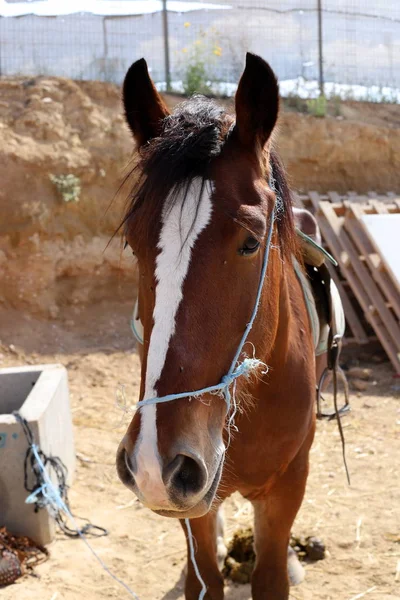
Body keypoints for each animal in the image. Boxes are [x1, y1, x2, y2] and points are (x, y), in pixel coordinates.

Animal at [117, 54, 318, 596]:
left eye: (250, 242)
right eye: (133, 245)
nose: (154, 463)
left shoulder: (286, 488)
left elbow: (272, 576)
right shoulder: (193, 506)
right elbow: (203, 575)